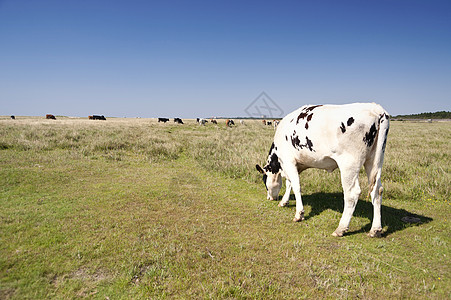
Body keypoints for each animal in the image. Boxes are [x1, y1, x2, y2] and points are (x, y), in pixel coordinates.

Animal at [256, 103, 390, 239]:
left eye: (264, 182)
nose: (269, 198)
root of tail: (376, 109)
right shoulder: (295, 164)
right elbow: (289, 183)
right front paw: (284, 202)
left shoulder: (288, 161)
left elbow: (296, 186)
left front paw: (299, 214)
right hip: (374, 161)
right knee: (377, 190)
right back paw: (375, 229)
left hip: (349, 164)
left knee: (352, 193)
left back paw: (341, 228)